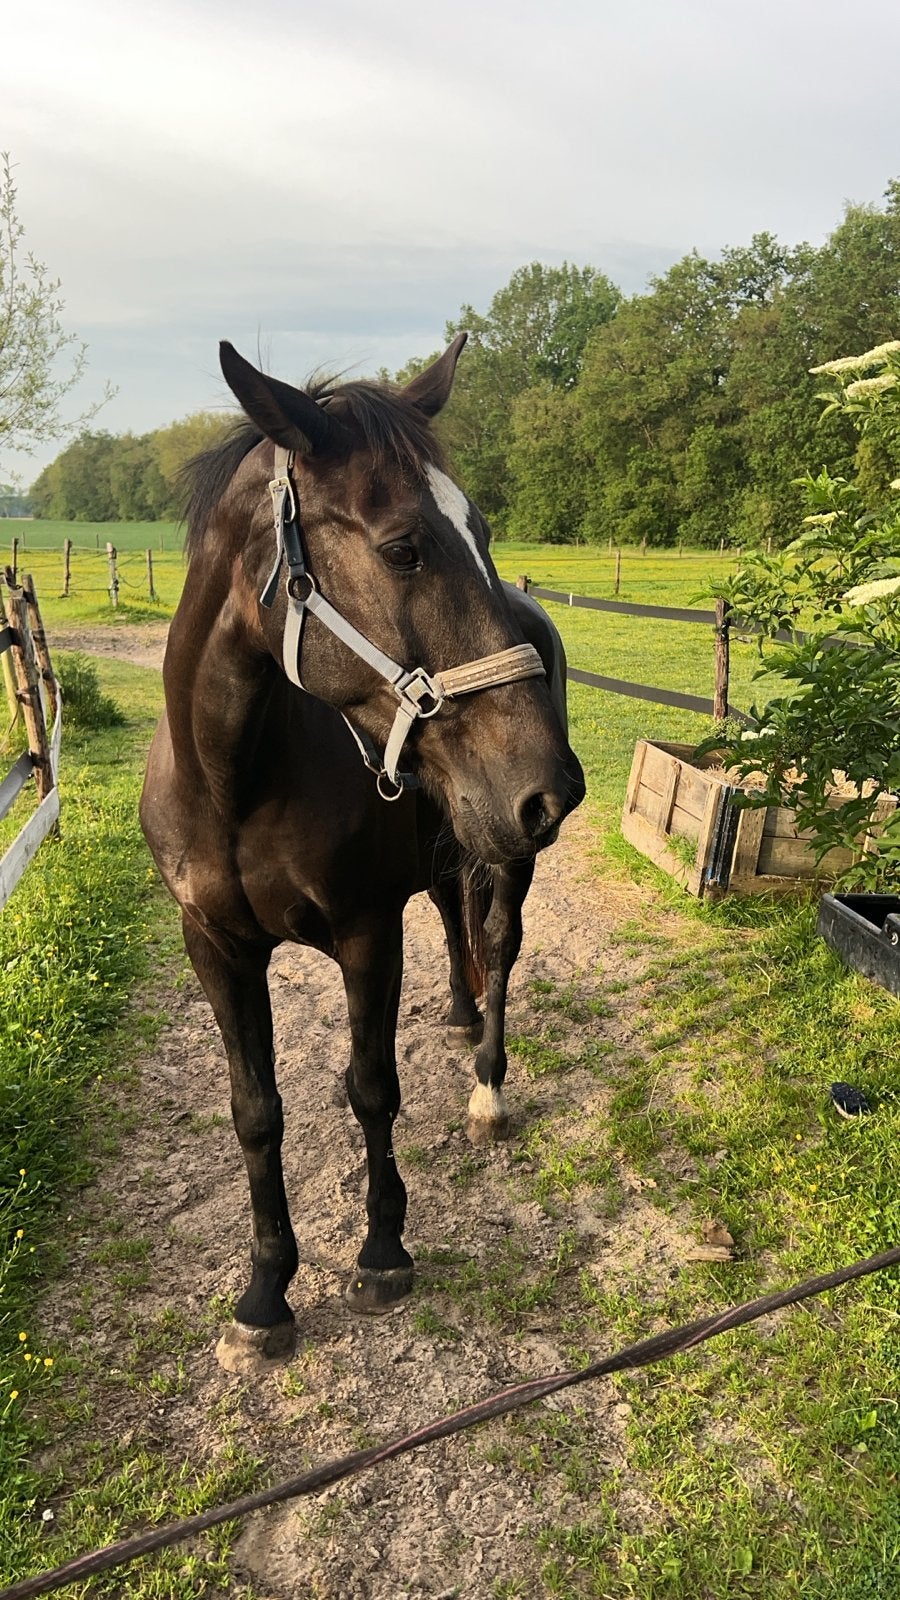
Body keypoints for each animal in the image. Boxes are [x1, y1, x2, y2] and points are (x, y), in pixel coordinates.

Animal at [140, 333, 585, 1371]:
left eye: (482, 530)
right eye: (402, 547)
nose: (554, 787)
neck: (233, 781)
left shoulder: (364, 931)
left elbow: (371, 1088)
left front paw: (383, 1251)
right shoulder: (214, 947)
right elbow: (255, 1112)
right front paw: (266, 1293)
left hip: (507, 855)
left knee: (496, 946)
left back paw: (486, 1087)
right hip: (461, 841)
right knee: (457, 925)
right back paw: (460, 1016)